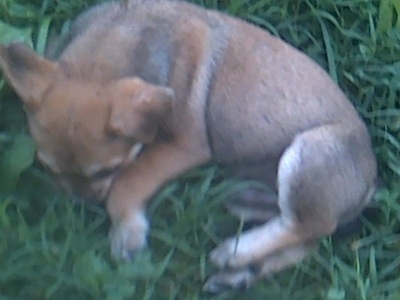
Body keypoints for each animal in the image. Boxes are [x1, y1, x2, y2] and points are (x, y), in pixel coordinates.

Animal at [0, 0, 376, 292]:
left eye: (107, 169)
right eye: (48, 168)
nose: (80, 206)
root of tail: (372, 182)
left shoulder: (185, 144)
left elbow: (128, 183)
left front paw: (127, 232)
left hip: (308, 154)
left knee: (309, 226)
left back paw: (236, 252)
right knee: (306, 238)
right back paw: (239, 270)